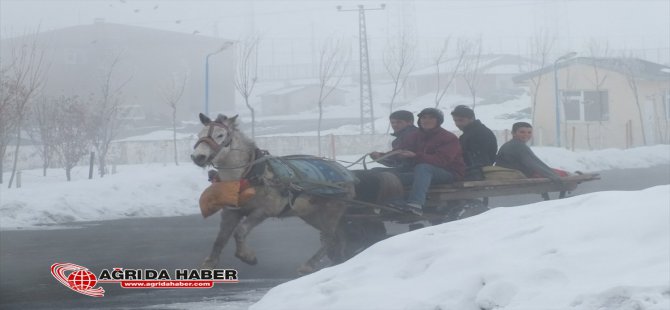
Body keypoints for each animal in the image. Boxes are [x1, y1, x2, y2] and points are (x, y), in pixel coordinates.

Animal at [189, 113, 356, 274]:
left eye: (220, 135)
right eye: (199, 134)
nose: (198, 157)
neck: (249, 175)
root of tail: (347, 173)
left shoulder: (263, 211)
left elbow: (240, 231)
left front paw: (247, 256)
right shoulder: (230, 212)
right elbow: (220, 239)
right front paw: (209, 265)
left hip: (331, 210)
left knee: (330, 238)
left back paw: (308, 265)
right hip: (311, 214)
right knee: (336, 237)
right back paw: (339, 259)